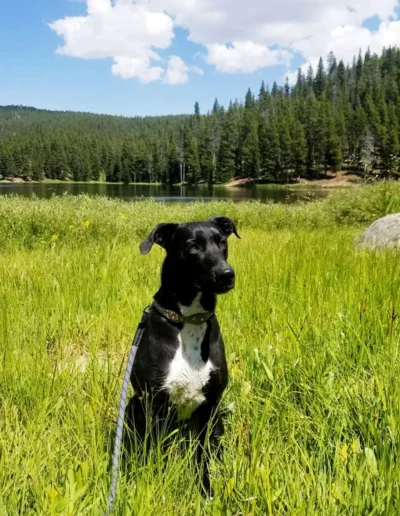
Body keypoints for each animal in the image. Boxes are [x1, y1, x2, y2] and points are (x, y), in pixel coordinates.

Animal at [125, 216, 239, 494]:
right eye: (192, 247)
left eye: (222, 242)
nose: (227, 274)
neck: (189, 320)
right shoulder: (154, 403)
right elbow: (156, 453)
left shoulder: (209, 406)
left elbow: (203, 456)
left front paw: (205, 490)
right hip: (134, 405)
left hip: (217, 419)